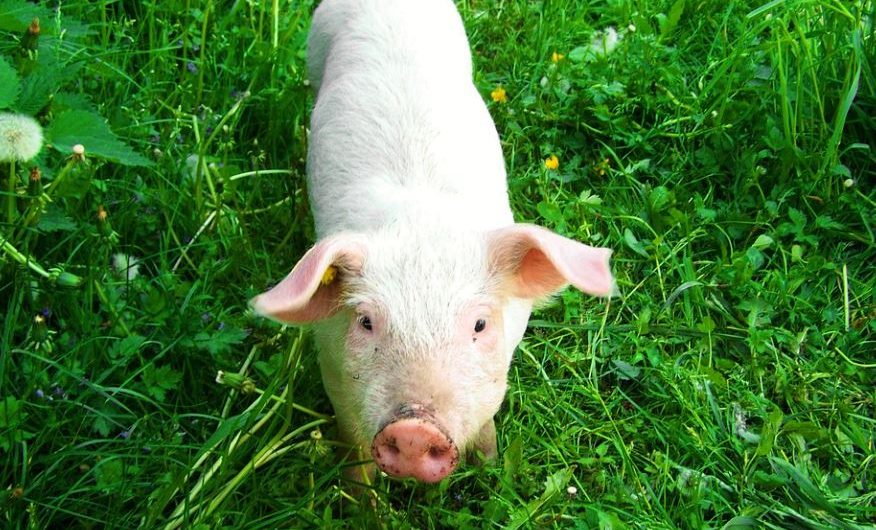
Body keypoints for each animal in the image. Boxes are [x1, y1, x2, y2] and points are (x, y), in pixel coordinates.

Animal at [250, 0, 615, 484]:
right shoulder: (331, 361)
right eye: (366, 321)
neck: (421, 224)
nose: (414, 430)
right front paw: (363, 499)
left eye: (479, 325)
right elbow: (354, 446)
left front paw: (490, 466)